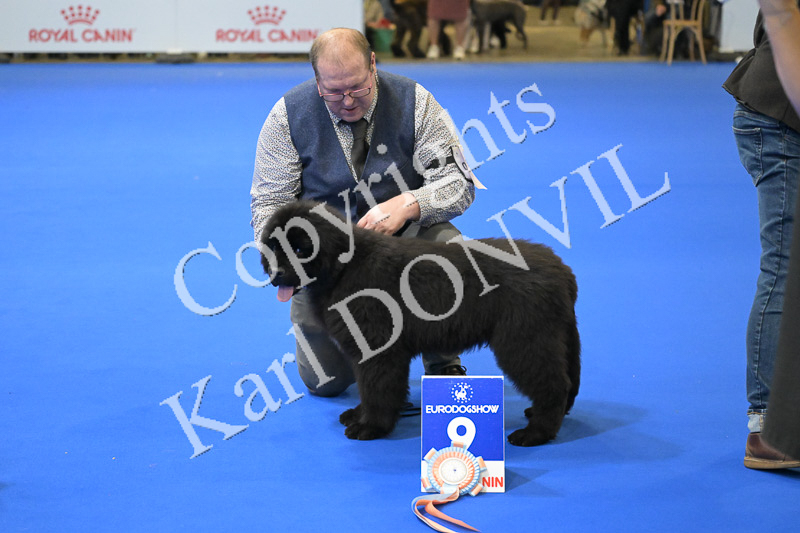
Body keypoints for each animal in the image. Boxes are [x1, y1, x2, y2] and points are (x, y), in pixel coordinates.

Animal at [260, 201, 580, 447]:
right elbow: (368, 387)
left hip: (524, 341)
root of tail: (562, 270)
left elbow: (376, 389)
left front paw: (371, 427)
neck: (343, 268)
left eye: (300, 250)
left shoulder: (378, 350)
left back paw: (535, 433)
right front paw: (359, 414)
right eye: (273, 248)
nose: (275, 275)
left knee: (554, 385)